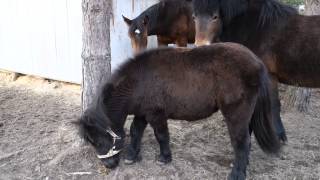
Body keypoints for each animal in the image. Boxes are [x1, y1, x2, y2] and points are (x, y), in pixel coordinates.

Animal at [78, 43, 280, 179]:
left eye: (99, 140)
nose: (109, 165)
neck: (139, 80)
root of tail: (257, 62)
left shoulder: (156, 114)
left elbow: (161, 135)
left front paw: (164, 158)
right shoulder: (143, 112)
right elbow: (136, 131)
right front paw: (132, 156)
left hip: (236, 114)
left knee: (241, 142)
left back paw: (237, 173)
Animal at [191, 0, 320, 142]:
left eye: (215, 17)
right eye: (194, 17)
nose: (200, 46)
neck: (257, 27)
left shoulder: (268, 77)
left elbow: (274, 106)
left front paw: (278, 136)